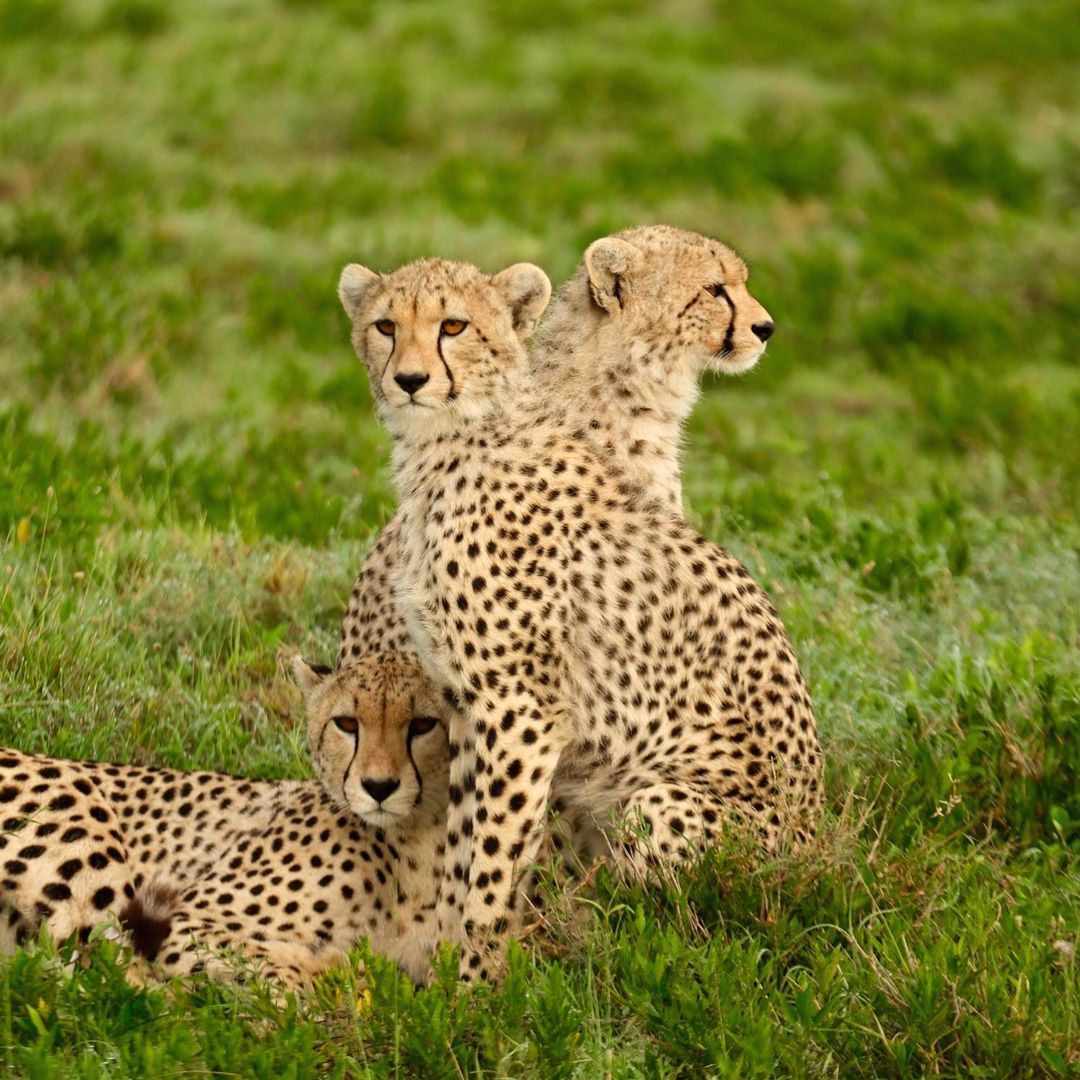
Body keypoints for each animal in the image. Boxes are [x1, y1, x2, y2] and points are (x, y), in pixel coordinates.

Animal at [0, 652, 450, 989]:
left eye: (423, 724)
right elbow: (287, 979)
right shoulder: (187, 918)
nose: (379, 786)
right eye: (346, 723)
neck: (417, 841)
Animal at [339, 252, 821, 981]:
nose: (411, 379)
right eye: (386, 327)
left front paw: (478, 978)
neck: (452, 442)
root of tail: (827, 847)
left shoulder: (520, 709)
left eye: (454, 326)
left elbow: (495, 853)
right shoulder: (462, 701)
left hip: (662, 806)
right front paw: (449, 958)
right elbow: (461, 838)